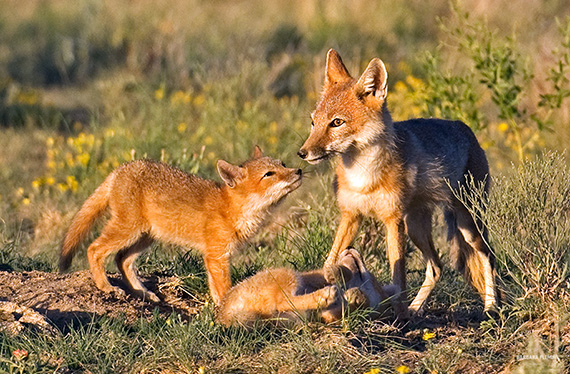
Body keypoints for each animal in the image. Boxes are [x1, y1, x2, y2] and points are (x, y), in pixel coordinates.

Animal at [298, 49, 496, 316]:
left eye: (337, 123)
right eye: (313, 122)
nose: (302, 153)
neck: (363, 177)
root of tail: (466, 130)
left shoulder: (392, 220)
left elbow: (398, 275)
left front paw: (398, 315)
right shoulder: (351, 216)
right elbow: (331, 257)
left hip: (467, 226)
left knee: (488, 257)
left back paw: (491, 306)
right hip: (416, 228)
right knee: (437, 267)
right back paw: (416, 309)